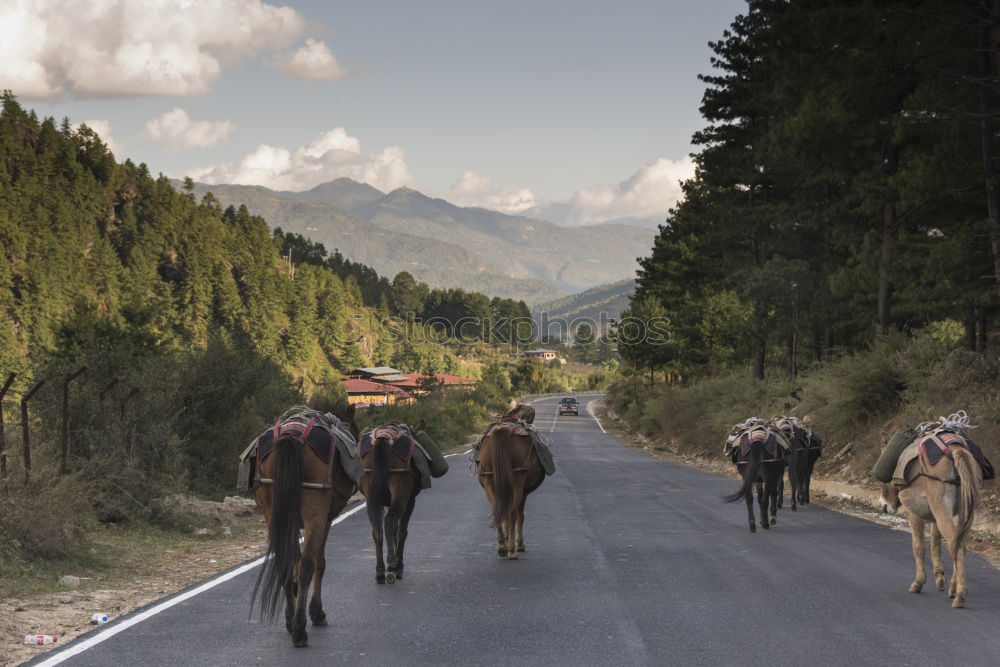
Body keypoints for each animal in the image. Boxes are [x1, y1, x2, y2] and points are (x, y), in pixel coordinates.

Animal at [250, 402, 360, 648]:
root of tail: (291, 437)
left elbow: (294, 561)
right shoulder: (325, 520)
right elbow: (317, 563)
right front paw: (316, 612)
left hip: (272, 514)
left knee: (284, 562)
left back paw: (291, 621)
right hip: (315, 516)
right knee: (309, 563)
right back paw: (300, 629)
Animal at [360, 422, 422, 584]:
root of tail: (382, 440)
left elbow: (394, 531)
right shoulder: (410, 501)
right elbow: (401, 531)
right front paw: (399, 566)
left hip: (371, 498)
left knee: (377, 529)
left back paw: (380, 571)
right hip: (401, 495)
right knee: (388, 523)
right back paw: (392, 567)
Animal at [474, 422, 544, 560]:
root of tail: (503, 430)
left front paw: (505, 540)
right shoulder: (524, 492)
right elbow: (520, 516)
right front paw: (520, 544)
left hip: (489, 480)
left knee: (497, 509)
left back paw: (502, 545)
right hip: (517, 480)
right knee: (512, 514)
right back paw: (512, 549)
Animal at [880, 440, 980, 608]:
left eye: (881, 483)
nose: (882, 506)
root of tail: (955, 449)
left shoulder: (914, 514)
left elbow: (918, 547)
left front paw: (918, 582)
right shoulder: (935, 518)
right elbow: (935, 546)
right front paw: (939, 577)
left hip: (943, 512)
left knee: (956, 546)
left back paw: (960, 595)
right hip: (965, 514)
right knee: (959, 545)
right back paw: (954, 588)